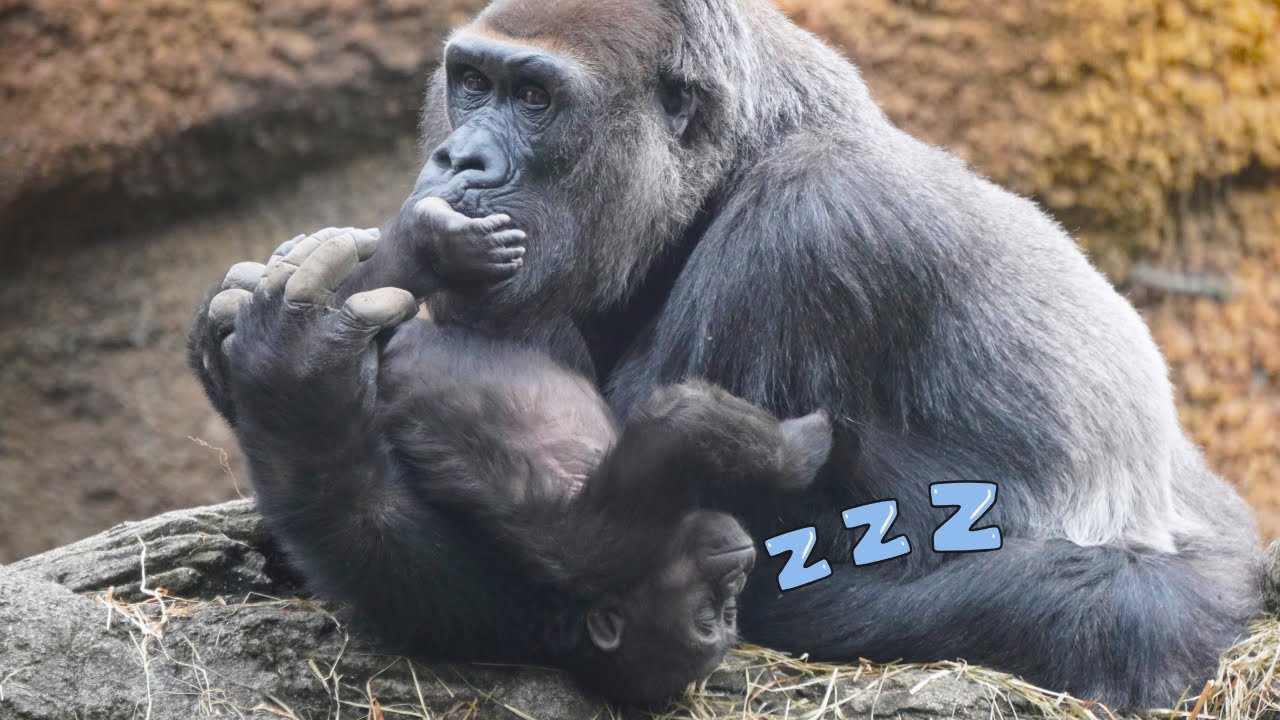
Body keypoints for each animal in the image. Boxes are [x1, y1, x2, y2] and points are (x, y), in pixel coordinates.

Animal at [195, 216, 833, 704]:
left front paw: (796, 447)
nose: (734, 584)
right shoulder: (602, 545)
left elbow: (679, 422)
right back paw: (434, 245)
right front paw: (805, 446)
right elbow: (682, 422)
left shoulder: (578, 553)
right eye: (711, 614)